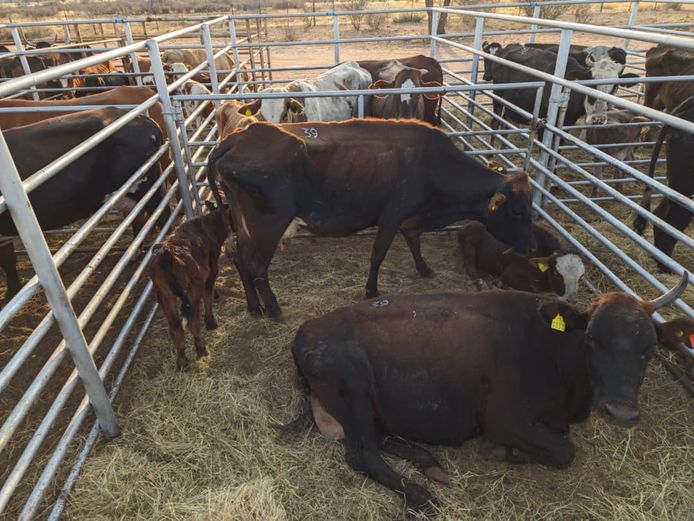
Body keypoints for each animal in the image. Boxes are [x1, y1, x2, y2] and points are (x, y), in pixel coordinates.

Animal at [0, 108, 168, 301]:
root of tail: (141, 118)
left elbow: (7, 258)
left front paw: (12, 290)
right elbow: (8, 257)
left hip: (148, 187)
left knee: (162, 215)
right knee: (139, 218)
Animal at [149, 202, 228, 370]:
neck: (208, 226)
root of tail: (167, 254)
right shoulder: (212, 268)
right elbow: (208, 293)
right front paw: (210, 321)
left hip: (164, 295)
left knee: (175, 327)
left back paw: (182, 362)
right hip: (192, 290)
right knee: (192, 320)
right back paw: (201, 347)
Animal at [208, 119, 536, 318]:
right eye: (517, 211)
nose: (531, 248)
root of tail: (239, 137)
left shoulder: (410, 218)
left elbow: (415, 245)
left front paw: (425, 269)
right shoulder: (391, 217)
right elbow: (378, 256)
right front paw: (371, 290)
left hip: (244, 223)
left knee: (240, 259)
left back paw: (254, 307)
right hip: (268, 225)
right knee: (256, 266)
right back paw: (273, 307)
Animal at [288, 272, 692, 511]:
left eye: (649, 349)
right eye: (592, 339)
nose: (620, 412)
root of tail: (306, 328)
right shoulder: (505, 420)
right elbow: (565, 451)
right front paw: (502, 452)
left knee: (376, 437)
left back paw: (428, 461)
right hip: (352, 385)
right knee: (362, 455)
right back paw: (421, 495)